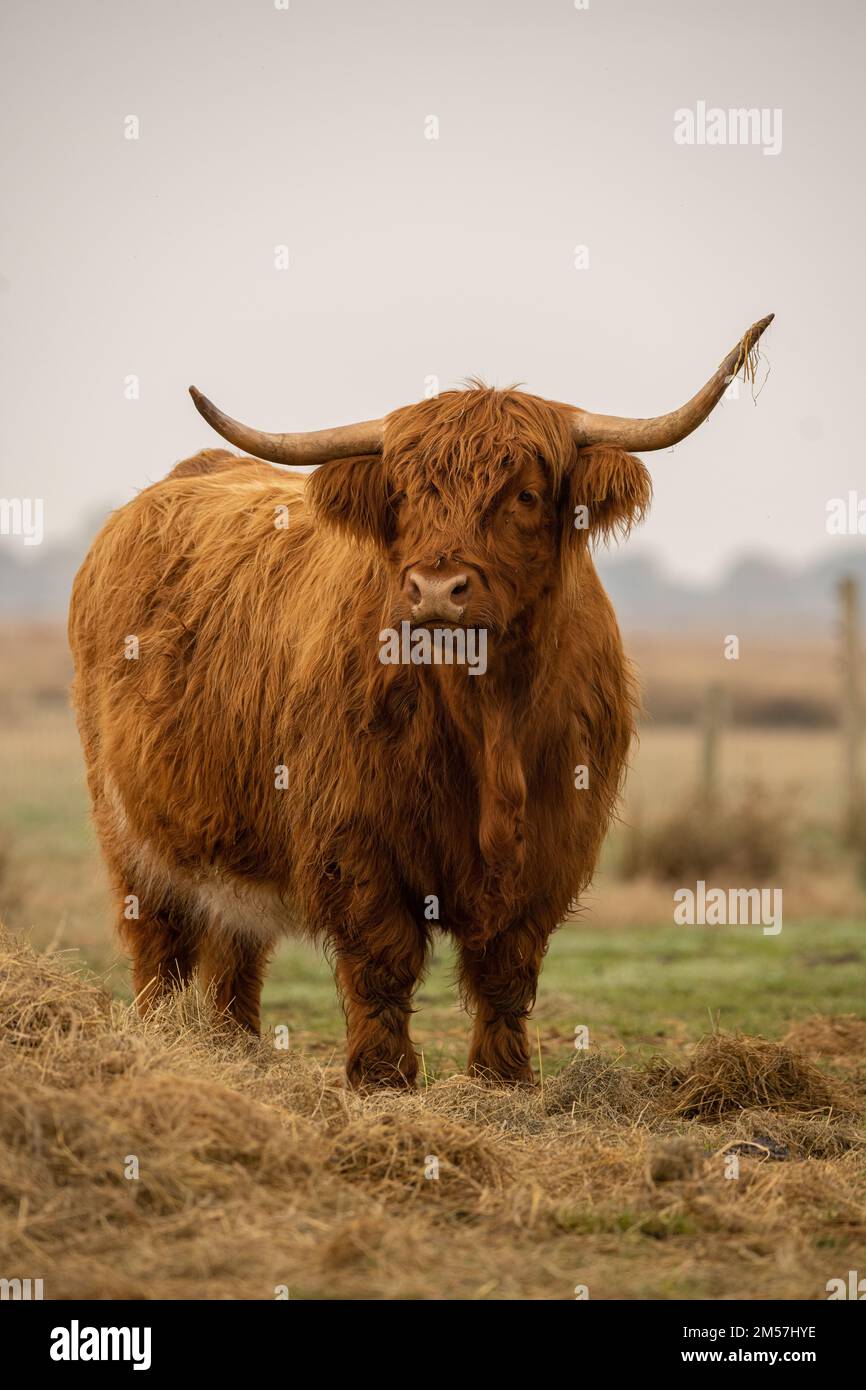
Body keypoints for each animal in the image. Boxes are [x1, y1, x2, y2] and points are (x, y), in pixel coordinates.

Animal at [68, 314, 772, 1087]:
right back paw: (163, 1044)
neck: (488, 714)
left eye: (524, 496)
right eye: (403, 497)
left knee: (235, 950)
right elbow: (383, 958)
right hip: (130, 825)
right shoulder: (354, 835)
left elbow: (505, 965)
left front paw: (503, 1076)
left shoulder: (554, 841)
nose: (435, 591)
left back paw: (235, 1049)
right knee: (159, 945)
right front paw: (383, 1075)